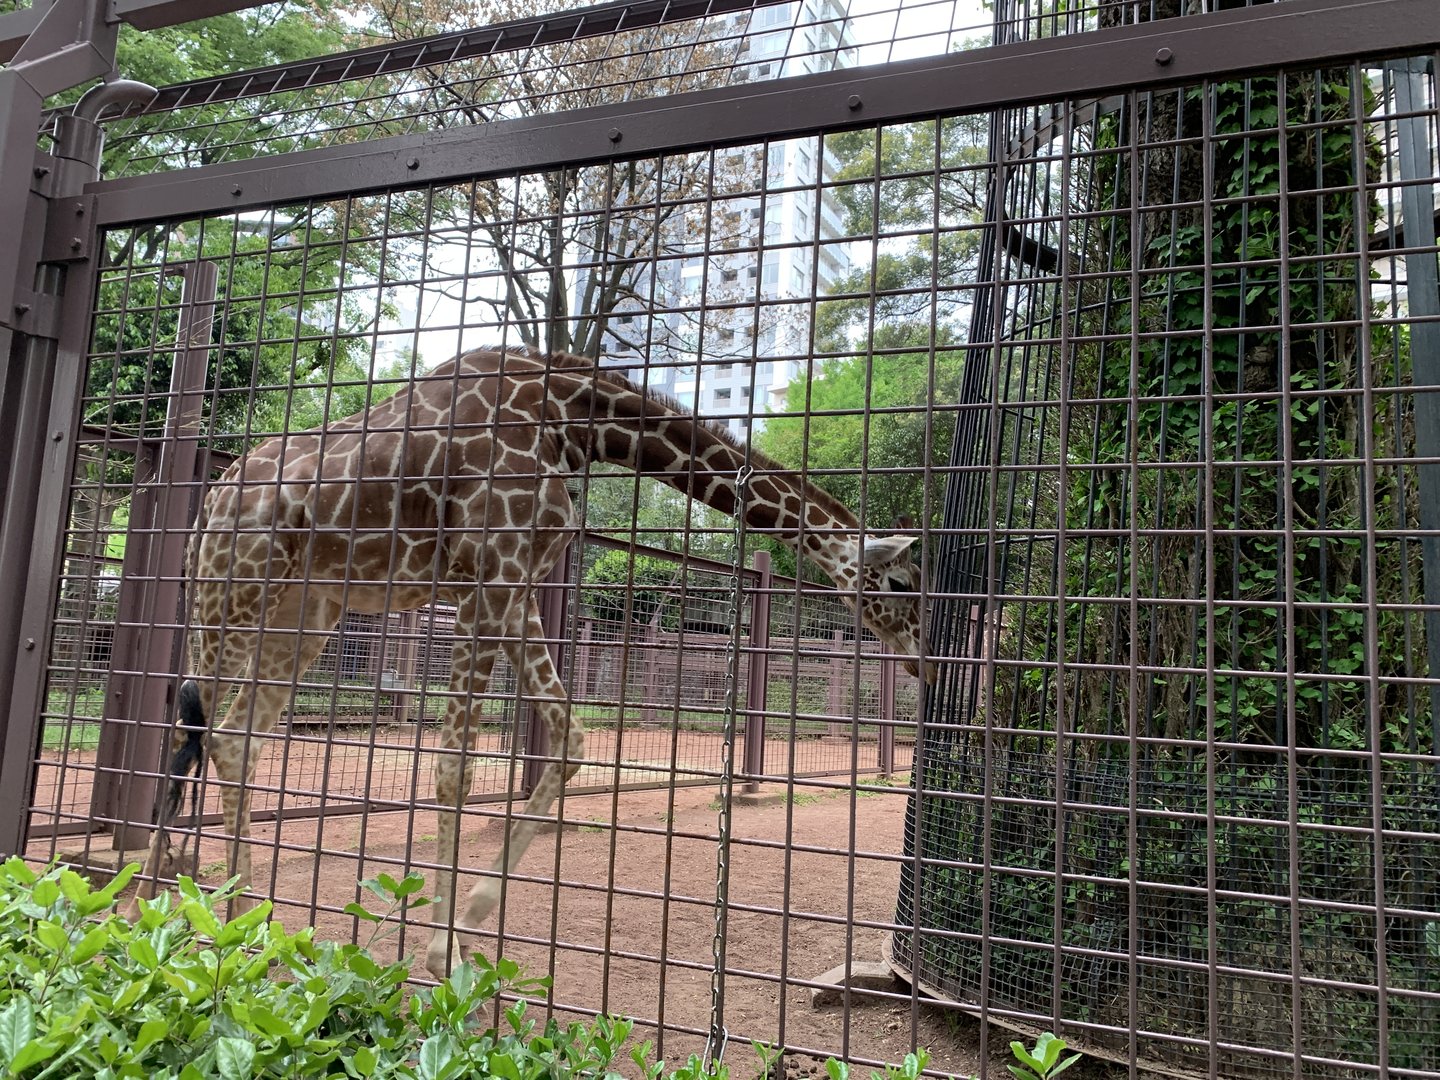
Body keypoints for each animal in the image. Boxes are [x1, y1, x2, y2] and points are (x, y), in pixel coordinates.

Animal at [128, 347, 935, 979]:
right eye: (900, 584)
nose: (926, 667)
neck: (574, 417)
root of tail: (208, 501)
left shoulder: (516, 586)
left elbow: (571, 740)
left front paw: (477, 914)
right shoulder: (488, 576)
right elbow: (454, 769)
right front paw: (441, 950)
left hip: (308, 613)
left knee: (236, 736)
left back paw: (251, 923)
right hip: (230, 594)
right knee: (201, 732)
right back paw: (197, 910)